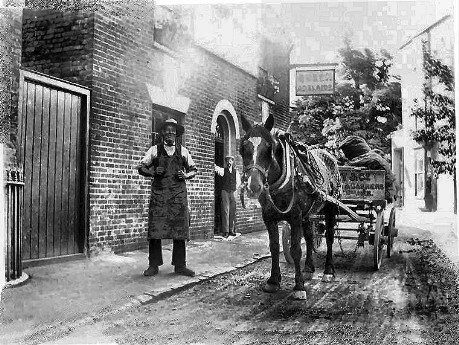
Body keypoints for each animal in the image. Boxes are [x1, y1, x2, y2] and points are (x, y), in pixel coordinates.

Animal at [241, 114, 342, 300]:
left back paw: (328, 271)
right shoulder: (269, 217)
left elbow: (295, 249)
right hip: (308, 214)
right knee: (309, 237)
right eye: (243, 147)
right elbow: (274, 247)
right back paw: (308, 268)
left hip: (330, 207)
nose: (254, 186)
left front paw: (299, 286)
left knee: (329, 237)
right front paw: (273, 281)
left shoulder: (295, 216)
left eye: (269, 148)